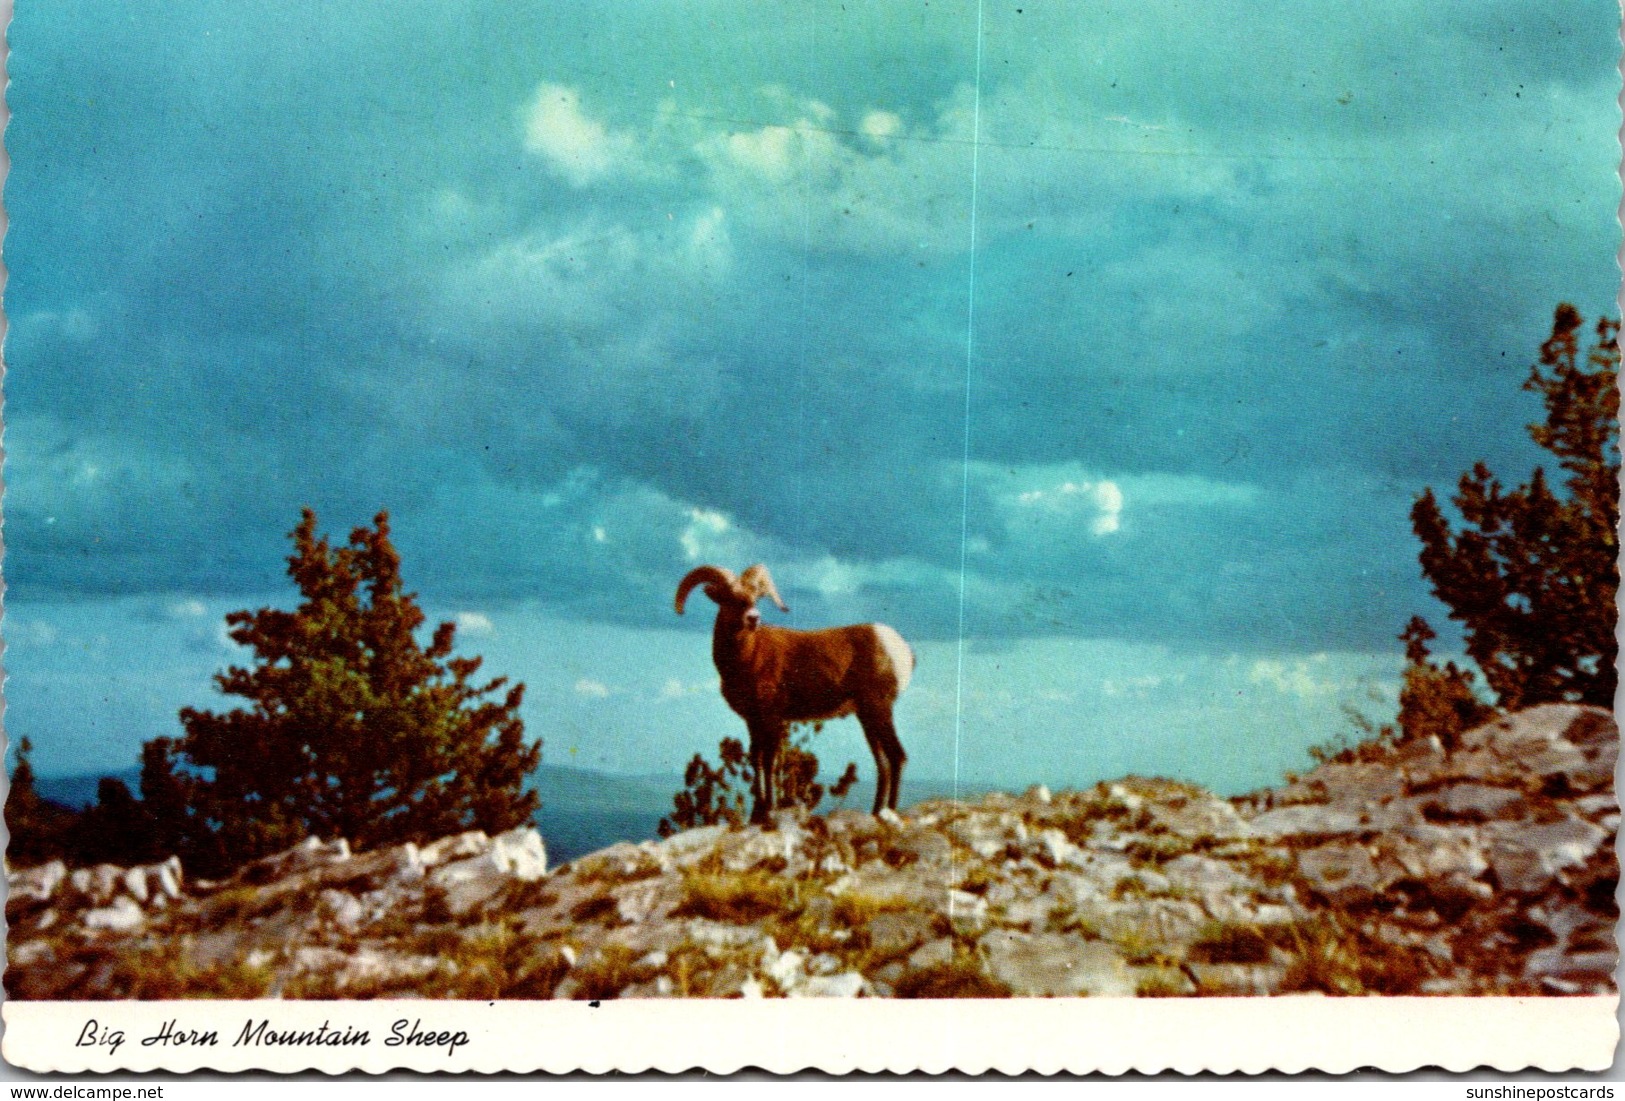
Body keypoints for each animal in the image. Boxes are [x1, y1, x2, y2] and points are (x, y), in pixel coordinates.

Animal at [672, 568, 916, 828]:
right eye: (729, 597)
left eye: (755, 597)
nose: (753, 618)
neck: (747, 658)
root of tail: (901, 649)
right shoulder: (753, 721)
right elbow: (756, 759)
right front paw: (756, 815)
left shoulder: (771, 718)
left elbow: (769, 762)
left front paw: (768, 812)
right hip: (867, 717)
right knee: (883, 763)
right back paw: (876, 812)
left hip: (879, 709)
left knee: (897, 756)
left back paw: (890, 812)